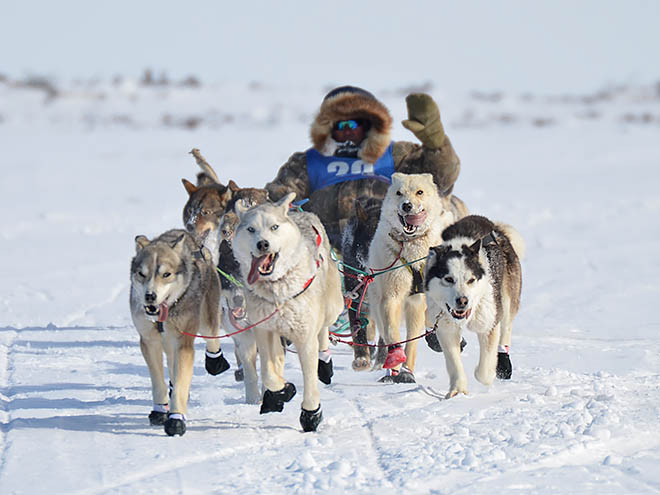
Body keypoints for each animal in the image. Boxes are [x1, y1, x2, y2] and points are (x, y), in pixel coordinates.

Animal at [130, 231, 222, 436]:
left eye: (166, 274)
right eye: (142, 274)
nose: (150, 296)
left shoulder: (183, 343)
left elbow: (181, 382)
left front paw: (176, 419)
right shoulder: (149, 341)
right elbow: (158, 381)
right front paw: (160, 410)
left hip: (206, 321)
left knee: (212, 340)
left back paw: (215, 361)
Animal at [233, 194, 346, 434]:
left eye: (274, 227)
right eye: (251, 229)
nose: (263, 244)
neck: (277, 292)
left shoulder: (305, 337)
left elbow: (310, 377)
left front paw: (311, 414)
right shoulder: (264, 330)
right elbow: (269, 373)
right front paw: (281, 392)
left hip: (332, 308)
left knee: (323, 331)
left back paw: (325, 363)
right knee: (277, 359)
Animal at [366, 173, 470, 384]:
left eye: (419, 192)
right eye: (399, 193)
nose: (407, 205)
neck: (411, 247)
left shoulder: (416, 299)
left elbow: (413, 338)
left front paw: (407, 371)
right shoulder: (392, 295)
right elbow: (392, 332)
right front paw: (395, 363)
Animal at [422, 214, 524, 400]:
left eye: (471, 280)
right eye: (449, 279)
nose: (462, 301)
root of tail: (496, 228)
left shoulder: (488, 323)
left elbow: (483, 371)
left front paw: (487, 374)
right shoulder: (446, 328)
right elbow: (454, 362)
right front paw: (458, 390)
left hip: (507, 299)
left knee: (506, 327)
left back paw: (503, 362)